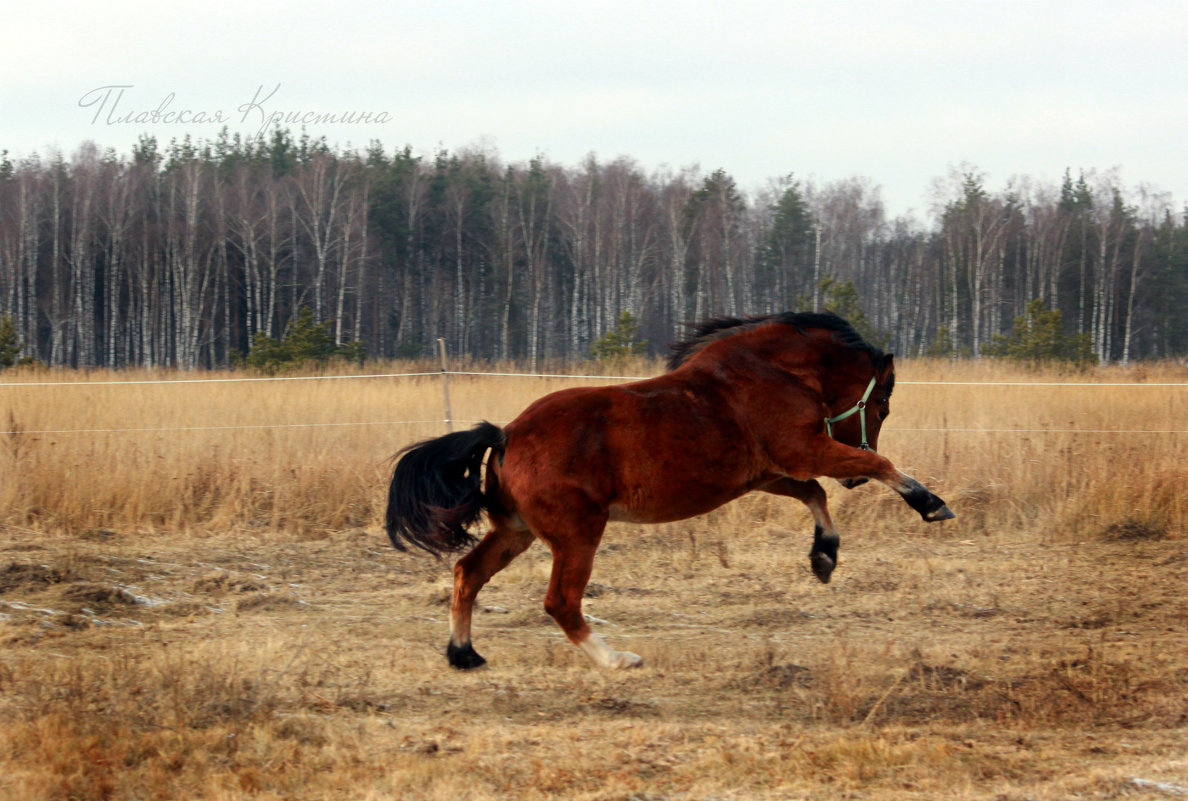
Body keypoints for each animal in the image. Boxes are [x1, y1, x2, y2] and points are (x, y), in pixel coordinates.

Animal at [389, 311, 955, 665]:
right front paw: (931, 505)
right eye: (883, 404)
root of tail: (506, 434)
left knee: (468, 573)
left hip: (517, 530)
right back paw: (617, 659)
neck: (772, 372)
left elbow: (815, 494)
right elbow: (878, 463)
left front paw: (824, 558)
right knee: (560, 602)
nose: (851, 482)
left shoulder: (766, 474)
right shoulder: (801, 451)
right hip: (576, 533)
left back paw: (463, 655)